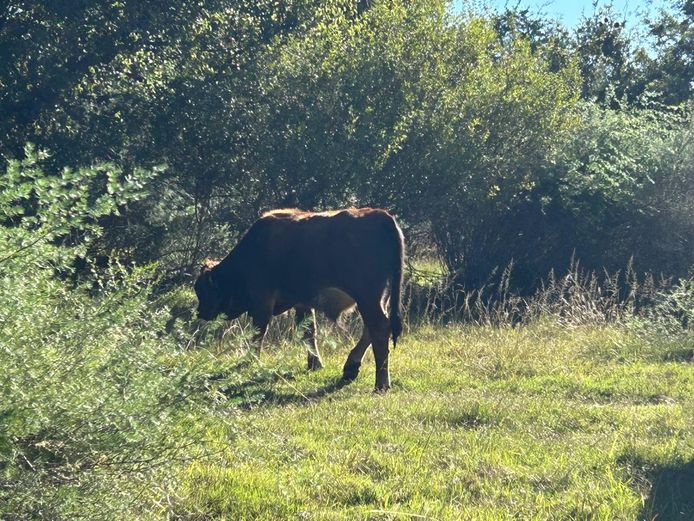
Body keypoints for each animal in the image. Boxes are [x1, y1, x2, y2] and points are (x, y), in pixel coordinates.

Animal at [194, 207, 404, 391]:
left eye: (202, 290)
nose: (200, 312)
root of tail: (381, 216)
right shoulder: (302, 302)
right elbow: (308, 332)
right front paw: (314, 364)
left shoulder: (262, 302)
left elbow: (258, 333)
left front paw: (249, 361)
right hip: (378, 299)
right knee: (372, 328)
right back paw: (351, 369)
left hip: (368, 297)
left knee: (378, 327)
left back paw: (380, 384)